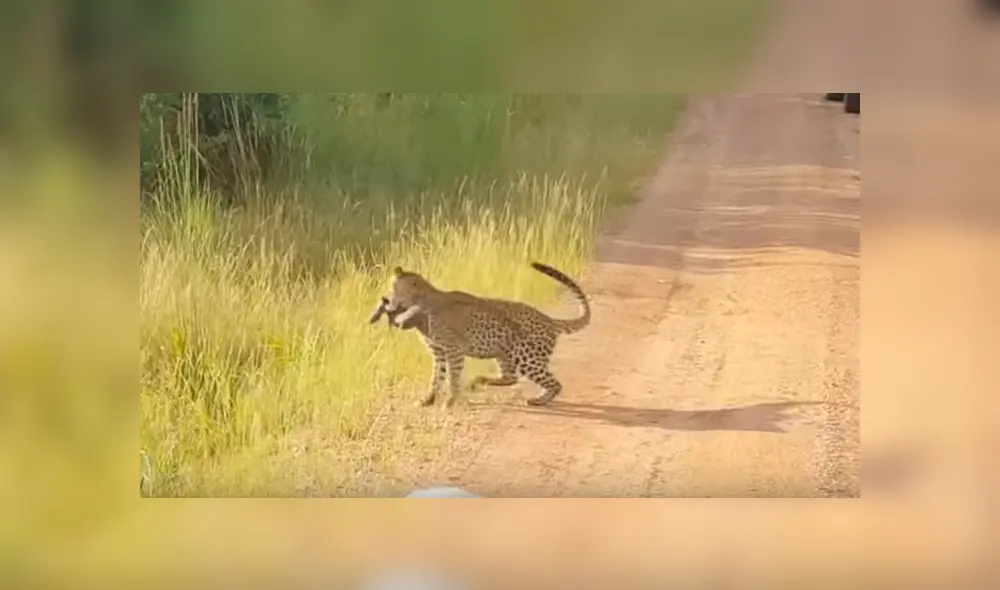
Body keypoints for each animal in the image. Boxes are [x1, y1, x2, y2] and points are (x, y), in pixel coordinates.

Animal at [377, 262, 591, 407]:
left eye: (393, 289)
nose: (386, 301)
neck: (421, 304)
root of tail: (549, 319)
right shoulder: (438, 352)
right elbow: (436, 378)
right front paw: (428, 400)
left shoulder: (453, 351)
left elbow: (452, 378)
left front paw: (450, 401)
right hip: (503, 353)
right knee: (510, 377)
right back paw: (480, 381)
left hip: (527, 357)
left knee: (554, 383)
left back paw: (538, 400)